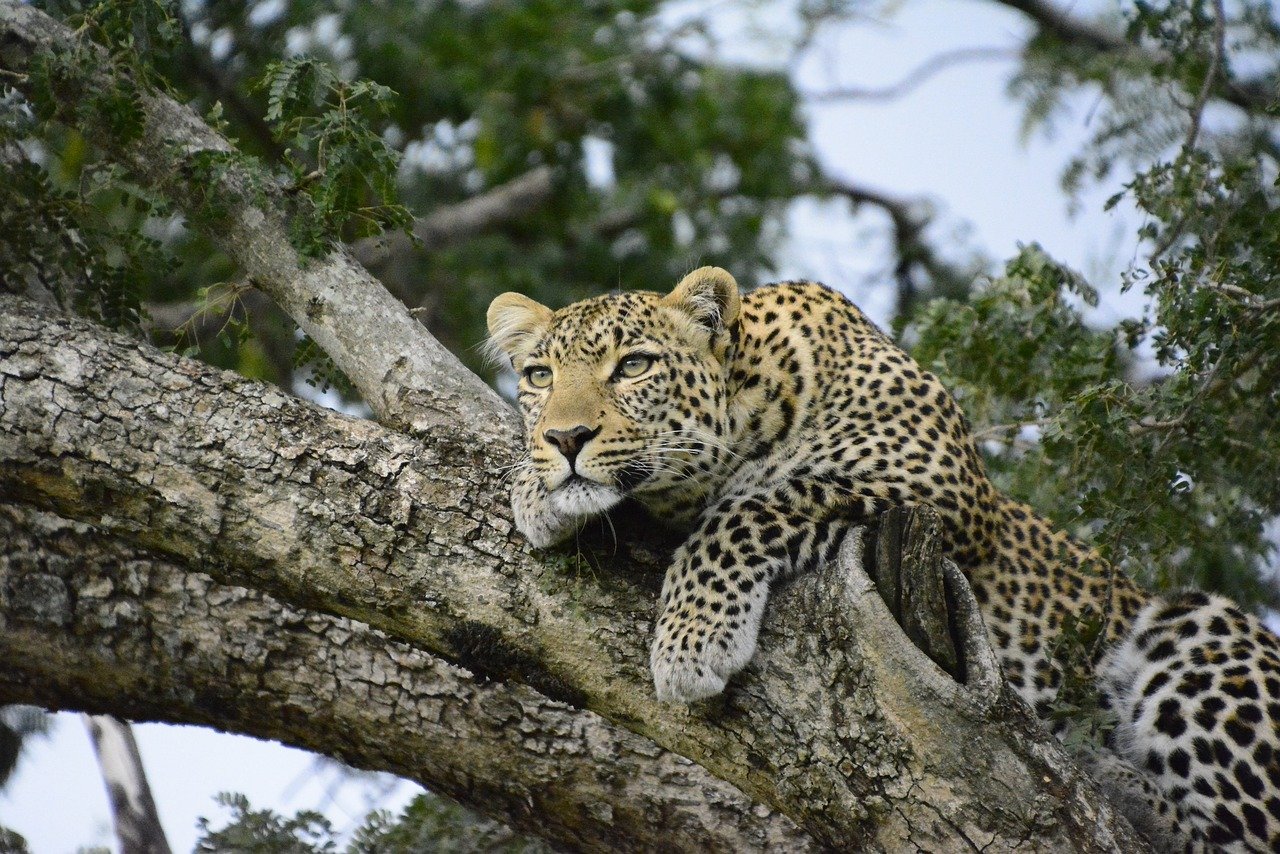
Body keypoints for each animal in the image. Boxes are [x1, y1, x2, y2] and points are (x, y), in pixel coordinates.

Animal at [483, 265, 1280, 850]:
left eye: (635, 366)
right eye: (539, 376)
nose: (566, 438)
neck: (757, 393)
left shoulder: (936, 488)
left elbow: (757, 504)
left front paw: (692, 639)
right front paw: (534, 486)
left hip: (1197, 630)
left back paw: (1116, 779)